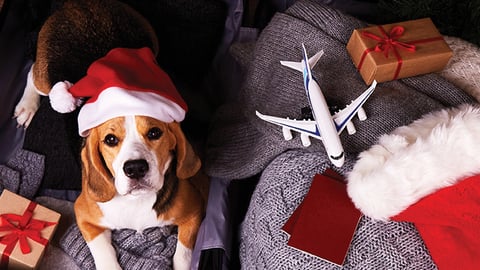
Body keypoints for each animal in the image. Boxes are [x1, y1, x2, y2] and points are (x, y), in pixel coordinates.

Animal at [75, 115, 208, 268]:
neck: (136, 200)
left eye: (154, 132)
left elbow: (183, 254)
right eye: (110, 139)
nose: (135, 168)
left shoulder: (194, 212)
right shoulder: (83, 215)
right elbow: (103, 251)